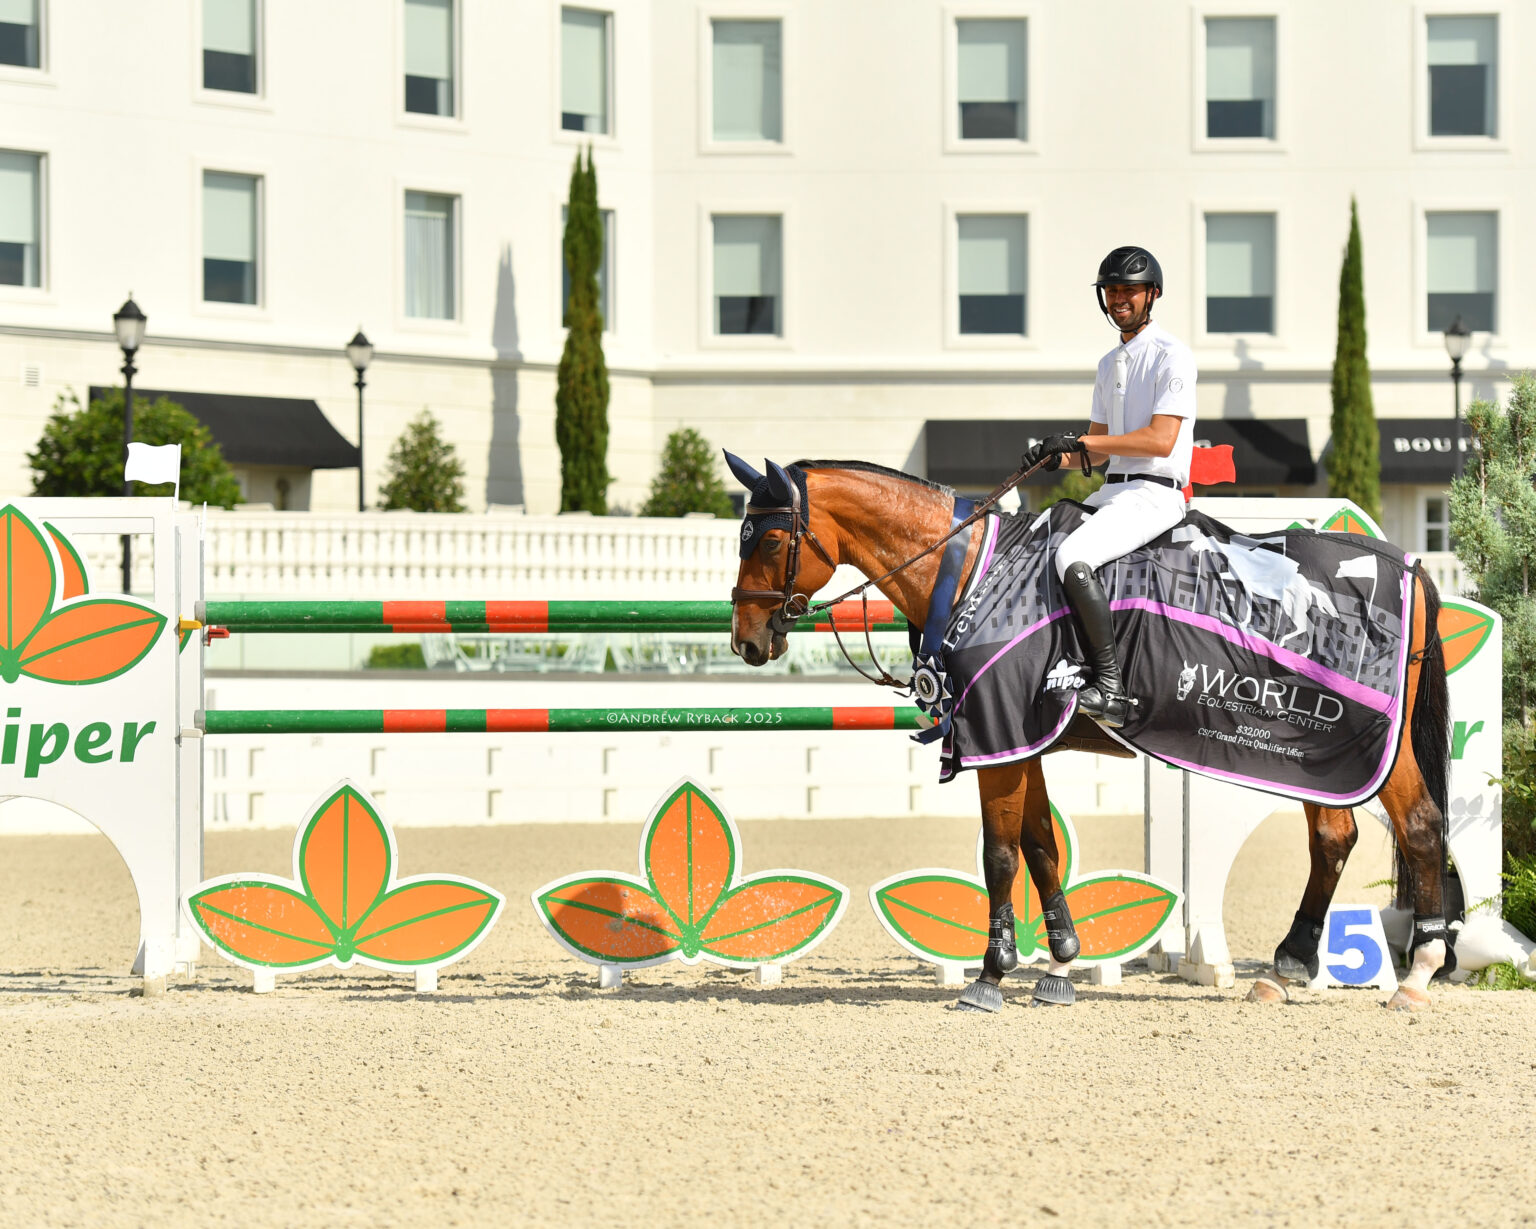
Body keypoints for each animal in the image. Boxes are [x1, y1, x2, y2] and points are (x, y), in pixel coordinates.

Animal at [725, 456, 1453, 1013]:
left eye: (768, 542)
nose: (747, 640)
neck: (973, 572)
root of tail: (1409, 567)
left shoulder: (997, 736)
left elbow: (1000, 854)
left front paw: (991, 974)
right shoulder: (1022, 741)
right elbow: (1041, 846)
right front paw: (1061, 963)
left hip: (1339, 743)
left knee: (1416, 825)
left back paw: (1417, 974)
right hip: (1309, 756)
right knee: (1336, 836)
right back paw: (1287, 968)